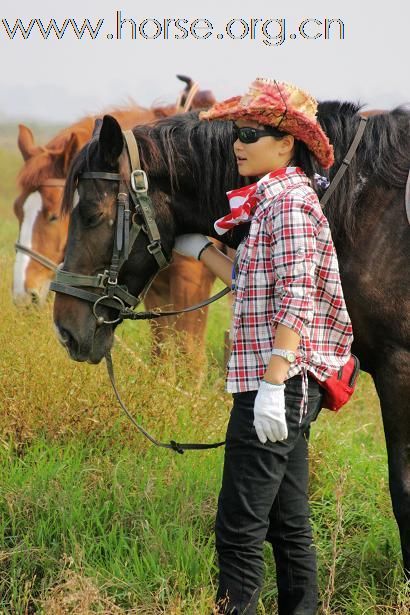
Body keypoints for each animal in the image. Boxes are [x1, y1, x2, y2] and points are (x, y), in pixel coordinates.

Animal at [12, 76, 218, 358]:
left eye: (54, 216)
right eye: (17, 210)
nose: (23, 294)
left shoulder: (191, 284)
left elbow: (189, 355)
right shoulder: (155, 289)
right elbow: (162, 354)